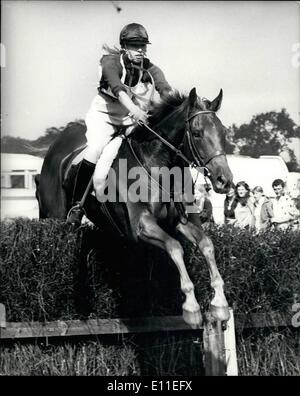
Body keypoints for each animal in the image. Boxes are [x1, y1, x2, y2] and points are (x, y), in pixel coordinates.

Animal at [36, 87, 233, 328]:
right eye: (196, 133)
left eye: (223, 133)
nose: (224, 181)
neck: (157, 164)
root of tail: (56, 146)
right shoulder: (142, 226)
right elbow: (175, 247)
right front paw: (191, 307)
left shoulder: (181, 222)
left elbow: (206, 245)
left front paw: (220, 304)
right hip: (54, 216)